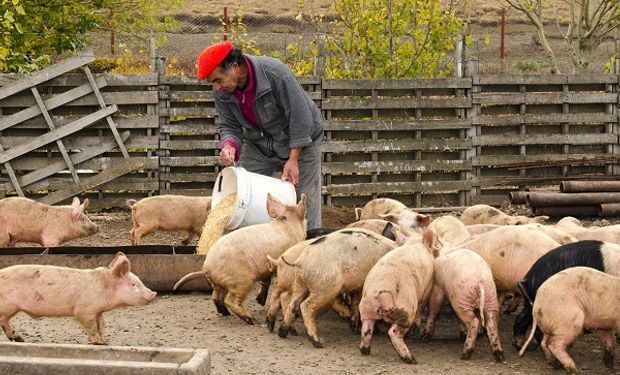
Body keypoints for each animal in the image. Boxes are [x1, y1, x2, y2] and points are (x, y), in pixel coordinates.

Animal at [0, 253, 156, 346]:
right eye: (133, 284)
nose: (153, 293)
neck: (104, 287)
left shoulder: (98, 311)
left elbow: (101, 325)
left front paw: (105, 341)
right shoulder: (85, 310)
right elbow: (92, 326)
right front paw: (100, 343)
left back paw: (19, 339)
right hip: (8, 306)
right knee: (4, 321)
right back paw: (18, 339)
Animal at [172, 195, 308, 324]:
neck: (290, 224)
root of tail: (206, 267)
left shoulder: (266, 266)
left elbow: (266, 281)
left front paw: (260, 301)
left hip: (218, 284)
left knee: (216, 297)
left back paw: (226, 314)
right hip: (241, 281)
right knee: (230, 300)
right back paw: (252, 320)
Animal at [358, 231, 436, 366]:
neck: (415, 243)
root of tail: (381, 291)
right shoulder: (427, 288)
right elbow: (421, 307)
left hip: (366, 307)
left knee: (366, 329)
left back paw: (365, 350)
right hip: (406, 308)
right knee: (393, 332)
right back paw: (411, 360)